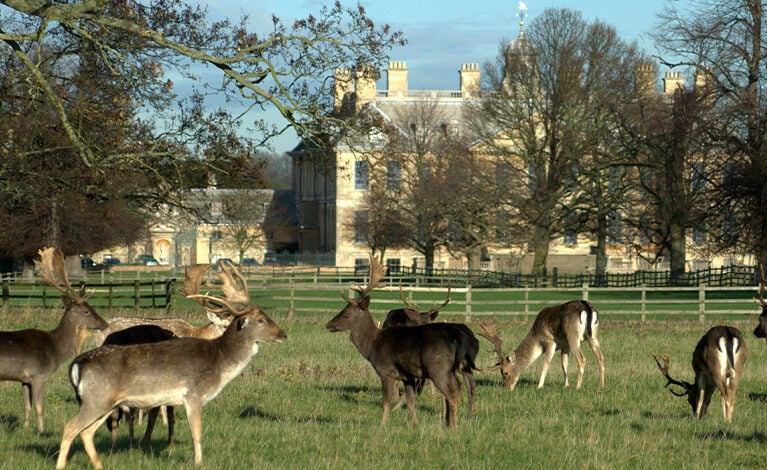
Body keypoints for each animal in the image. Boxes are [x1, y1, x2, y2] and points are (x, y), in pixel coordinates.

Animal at [0, 247, 108, 432]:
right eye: (86, 311)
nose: (105, 323)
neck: (56, 350)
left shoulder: (24, 379)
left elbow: (26, 406)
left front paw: (25, 428)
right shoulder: (38, 375)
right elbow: (39, 406)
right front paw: (41, 430)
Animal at [55, 260, 287, 469]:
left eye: (267, 315)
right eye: (260, 320)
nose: (283, 334)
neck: (218, 362)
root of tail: (77, 364)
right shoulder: (193, 394)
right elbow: (196, 433)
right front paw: (198, 462)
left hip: (104, 402)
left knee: (86, 431)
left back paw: (99, 464)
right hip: (96, 399)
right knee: (70, 427)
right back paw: (61, 465)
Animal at [325, 256, 478, 428]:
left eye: (345, 313)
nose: (328, 325)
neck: (372, 346)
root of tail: (460, 339)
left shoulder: (386, 372)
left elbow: (386, 402)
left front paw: (382, 425)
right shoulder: (408, 377)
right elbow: (411, 402)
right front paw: (415, 424)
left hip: (439, 367)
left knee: (453, 392)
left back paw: (453, 426)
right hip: (457, 367)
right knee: (464, 388)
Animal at [476, 300, 605, 390]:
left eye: (505, 373)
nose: (507, 387)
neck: (537, 339)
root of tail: (587, 309)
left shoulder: (550, 342)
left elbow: (546, 364)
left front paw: (539, 386)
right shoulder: (565, 346)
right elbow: (564, 364)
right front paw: (566, 385)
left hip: (573, 337)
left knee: (582, 359)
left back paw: (578, 387)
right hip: (593, 335)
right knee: (601, 357)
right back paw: (601, 385)